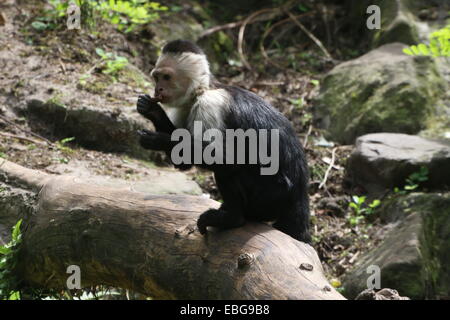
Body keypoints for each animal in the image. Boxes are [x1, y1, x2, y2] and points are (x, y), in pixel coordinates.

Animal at [137, 39, 312, 242]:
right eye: (156, 77)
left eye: (166, 77)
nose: (158, 89)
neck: (203, 89)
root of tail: (300, 194)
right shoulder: (185, 107)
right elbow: (183, 162)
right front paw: (152, 110)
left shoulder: (210, 105)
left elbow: (226, 160)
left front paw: (157, 139)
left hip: (273, 194)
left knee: (230, 169)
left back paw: (233, 218)